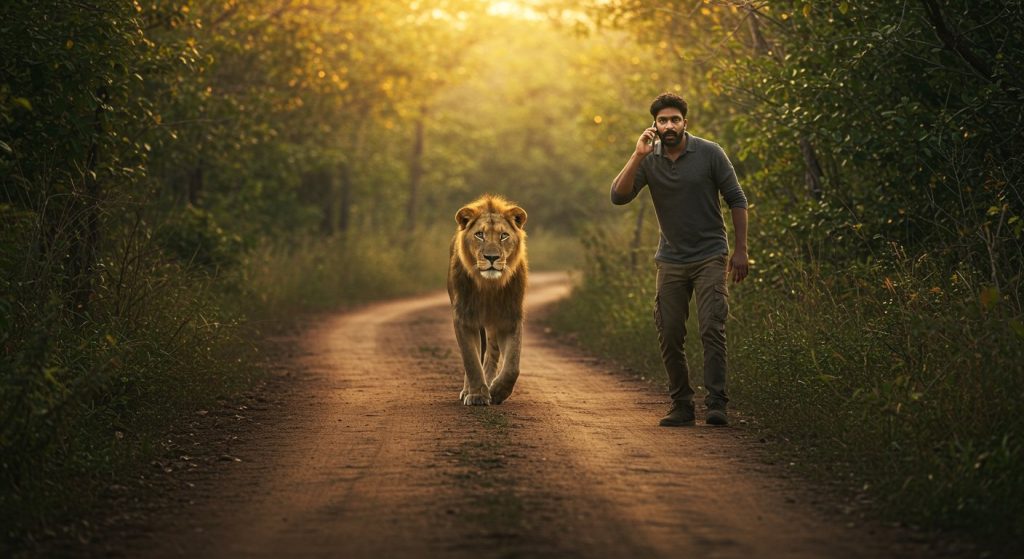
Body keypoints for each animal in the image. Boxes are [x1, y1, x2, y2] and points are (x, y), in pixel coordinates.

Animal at [447, 194, 528, 406]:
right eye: (479, 235)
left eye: (504, 236)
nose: (491, 257)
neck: (489, 286)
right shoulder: (464, 318)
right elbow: (471, 360)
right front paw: (476, 395)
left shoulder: (510, 318)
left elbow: (512, 366)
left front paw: (498, 391)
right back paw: (468, 390)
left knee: (491, 355)